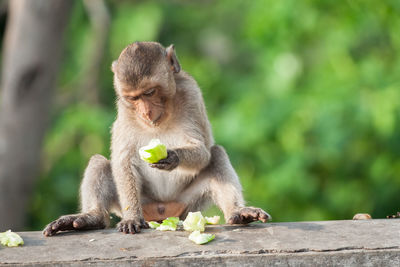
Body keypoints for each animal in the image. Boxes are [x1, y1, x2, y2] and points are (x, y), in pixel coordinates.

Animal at [43, 42, 268, 237]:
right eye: (133, 98)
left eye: (150, 92)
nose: (145, 112)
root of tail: (162, 211)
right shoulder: (124, 109)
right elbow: (123, 160)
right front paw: (132, 217)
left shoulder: (191, 94)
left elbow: (203, 152)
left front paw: (172, 157)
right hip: (144, 202)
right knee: (99, 162)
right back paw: (92, 218)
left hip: (188, 203)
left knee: (217, 154)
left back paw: (237, 212)